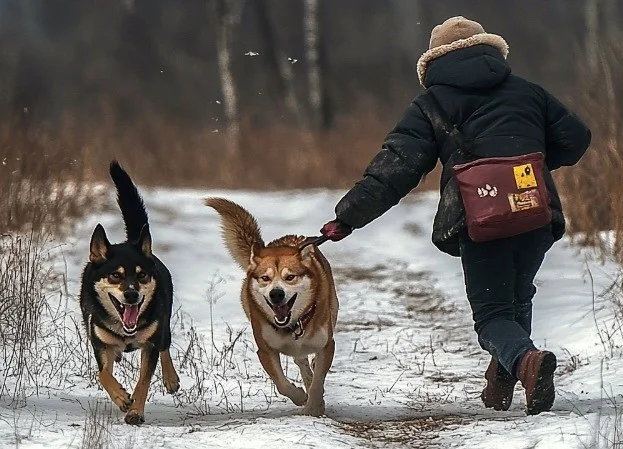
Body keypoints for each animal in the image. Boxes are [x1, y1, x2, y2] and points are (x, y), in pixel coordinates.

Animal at [79, 161, 179, 424]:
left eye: (141, 275)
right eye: (116, 275)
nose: (132, 295)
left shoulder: (150, 343)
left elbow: (144, 379)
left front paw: (135, 411)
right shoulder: (99, 343)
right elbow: (102, 374)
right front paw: (122, 397)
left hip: (164, 322)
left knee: (165, 344)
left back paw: (171, 379)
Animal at [207, 198, 338, 414]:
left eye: (290, 277)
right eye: (265, 278)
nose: (276, 294)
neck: (293, 325)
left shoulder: (326, 344)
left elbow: (319, 379)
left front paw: (314, 407)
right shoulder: (265, 349)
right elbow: (282, 384)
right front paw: (301, 396)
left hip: (332, 311)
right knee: (299, 360)